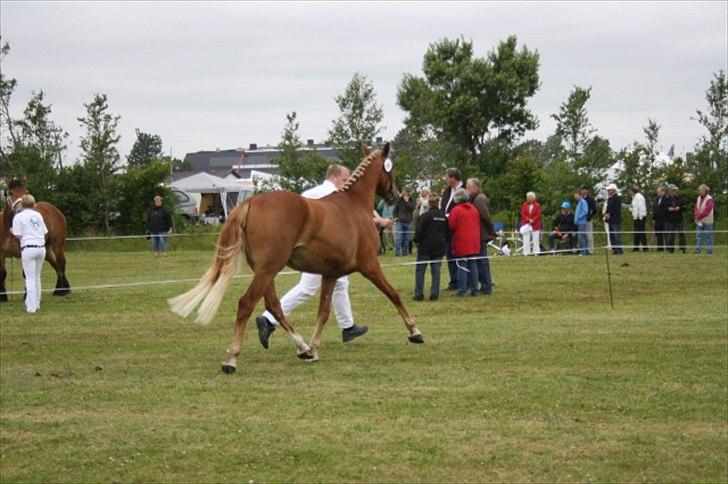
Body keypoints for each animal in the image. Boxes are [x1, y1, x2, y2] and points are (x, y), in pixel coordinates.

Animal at [168, 142, 424, 372]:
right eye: (390, 168)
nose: (394, 195)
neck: (354, 205)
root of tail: (249, 202)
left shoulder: (330, 274)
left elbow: (323, 312)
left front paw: (315, 348)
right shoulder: (370, 266)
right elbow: (393, 295)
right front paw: (415, 332)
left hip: (265, 271)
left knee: (274, 305)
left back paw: (302, 348)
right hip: (268, 270)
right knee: (247, 304)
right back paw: (231, 359)